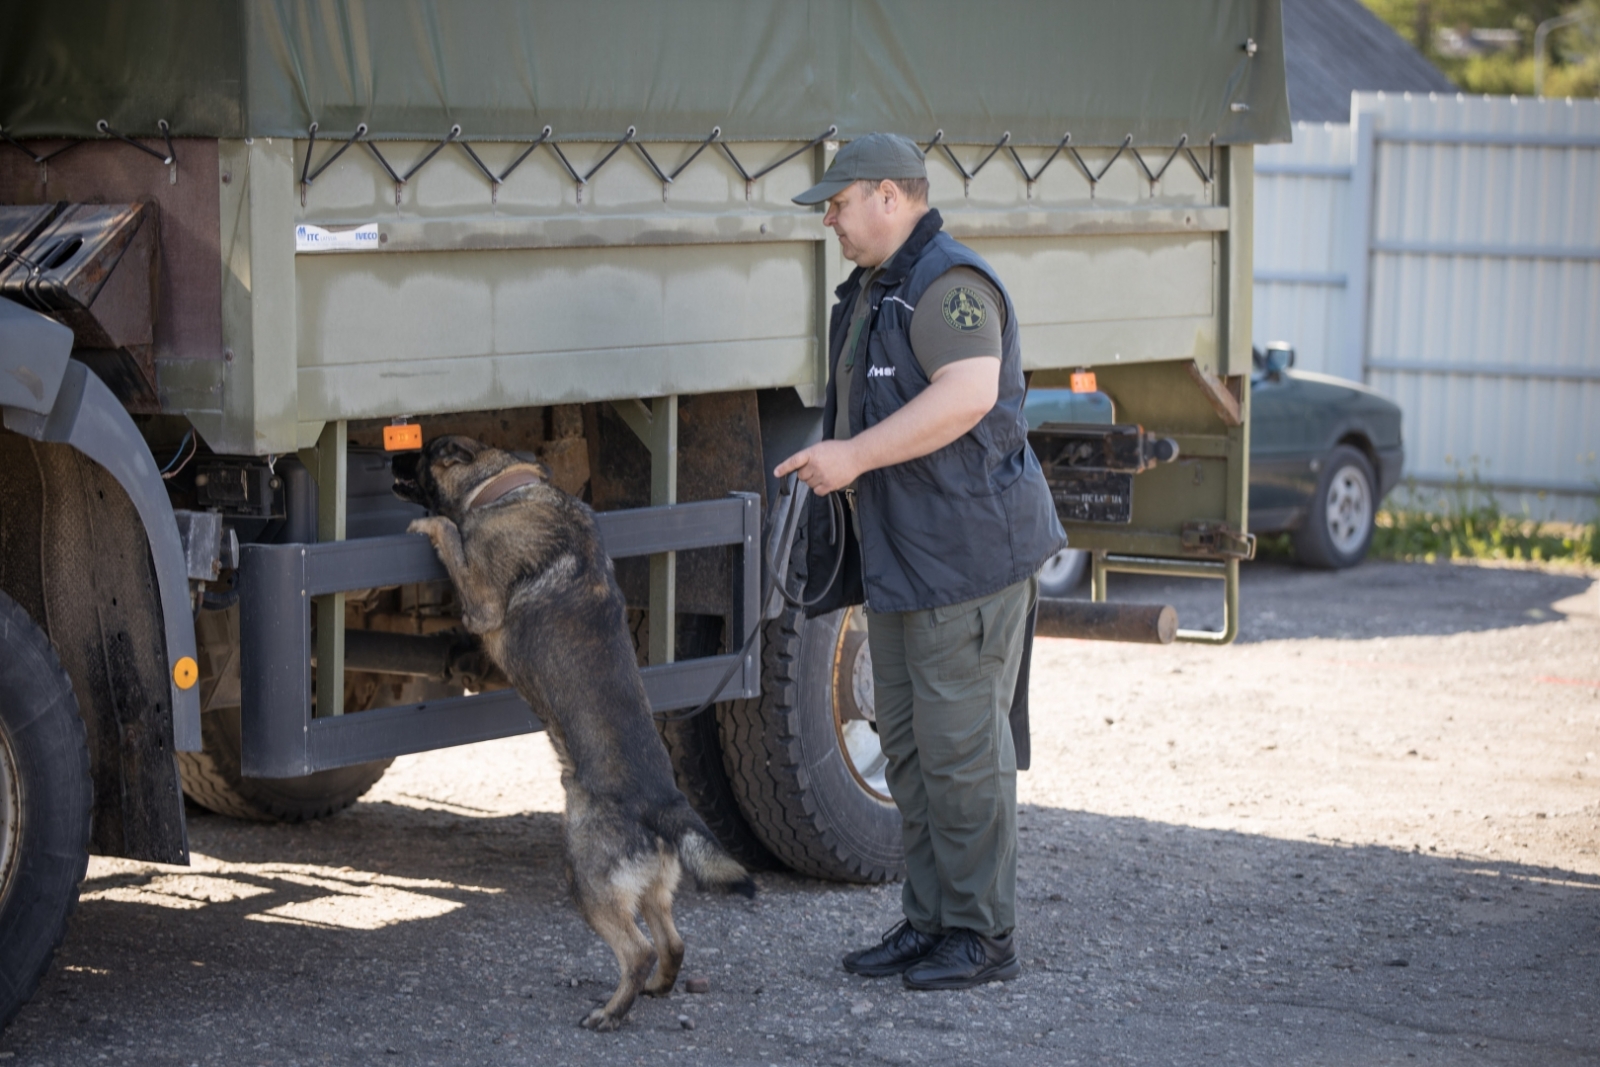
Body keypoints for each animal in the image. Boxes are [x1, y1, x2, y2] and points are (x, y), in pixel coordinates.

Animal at [392, 435, 755, 1036]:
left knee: (639, 950)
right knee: (673, 942)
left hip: (586, 877)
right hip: (647, 888)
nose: (387, 457)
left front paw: (431, 524)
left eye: (420, 453)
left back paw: (610, 1012)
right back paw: (653, 990)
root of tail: (665, 804)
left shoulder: (480, 600)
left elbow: (450, 533)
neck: (507, 487)